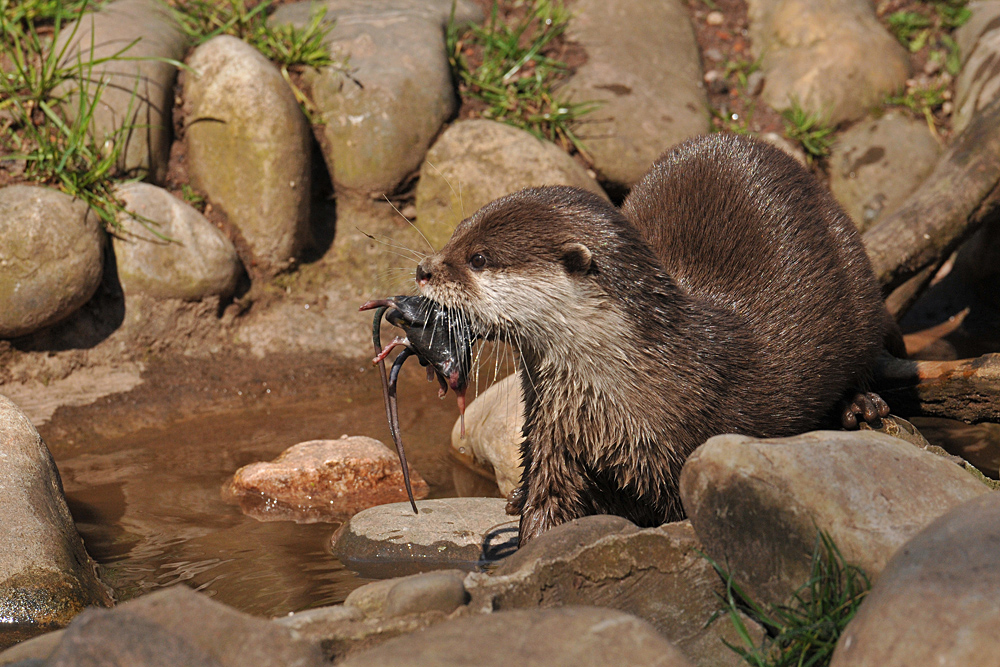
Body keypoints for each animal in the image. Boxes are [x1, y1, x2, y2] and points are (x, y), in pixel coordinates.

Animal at [410, 133, 896, 544]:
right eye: (456, 231)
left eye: (478, 258)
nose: (423, 269)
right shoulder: (552, 436)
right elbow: (548, 501)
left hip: (858, 281)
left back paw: (861, 406)